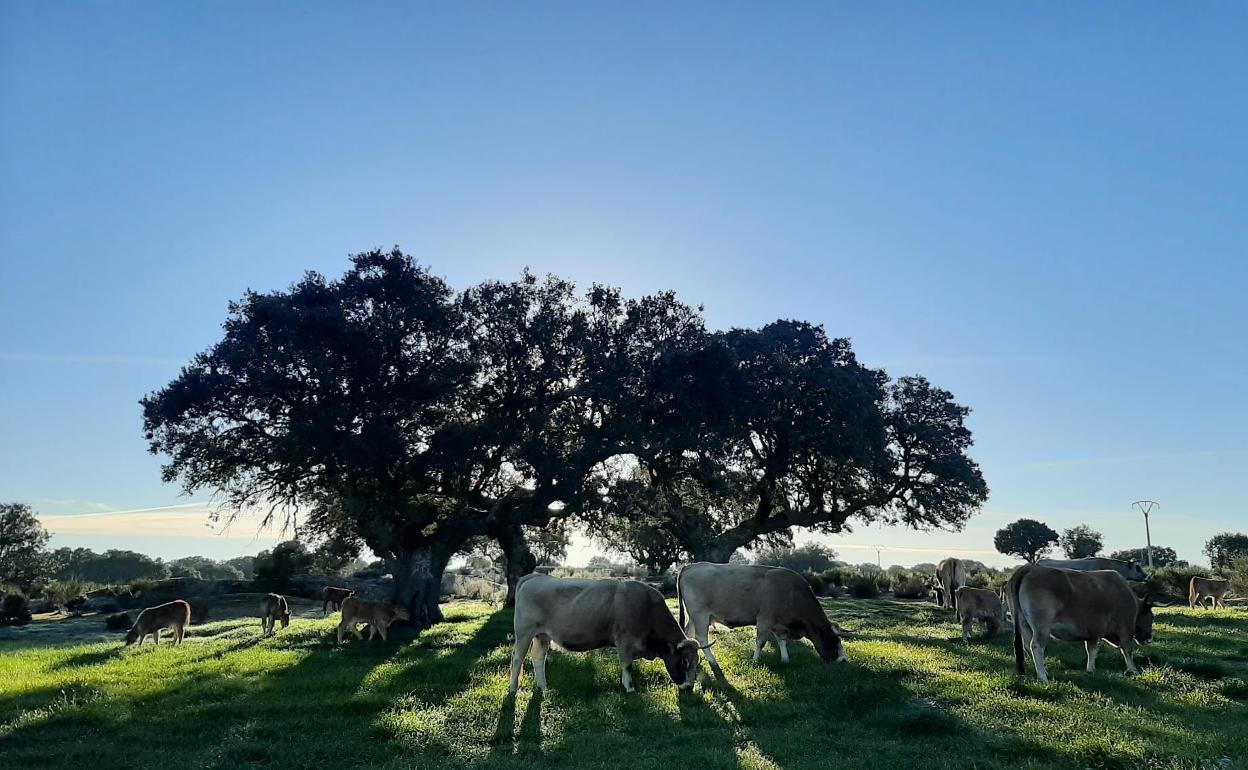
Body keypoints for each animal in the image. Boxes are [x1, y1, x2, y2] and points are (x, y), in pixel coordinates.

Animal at [504, 571, 703, 688]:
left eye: (697, 662)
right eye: (684, 661)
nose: (689, 687)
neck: (646, 606)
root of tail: (535, 576)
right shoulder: (624, 641)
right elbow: (627, 665)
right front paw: (629, 688)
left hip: (542, 635)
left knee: (538, 659)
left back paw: (543, 687)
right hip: (524, 632)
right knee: (517, 659)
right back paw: (513, 688)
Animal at [678, 559, 843, 673]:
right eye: (835, 642)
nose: (842, 660)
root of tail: (691, 566)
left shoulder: (777, 624)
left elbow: (781, 641)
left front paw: (785, 659)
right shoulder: (765, 620)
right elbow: (760, 642)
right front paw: (754, 661)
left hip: (693, 617)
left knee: (689, 634)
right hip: (700, 615)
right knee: (701, 639)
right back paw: (712, 661)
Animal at [1008, 561, 1153, 683]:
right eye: (1152, 617)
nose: (1149, 638)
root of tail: (1029, 568)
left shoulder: (1094, 631)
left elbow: (1092, 650)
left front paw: (1091, 670)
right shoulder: (1125, 628)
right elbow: (1127, 650)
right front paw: (1133, 670)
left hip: (1023, 624)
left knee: (1027, 646)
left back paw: (1044, 671)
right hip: (1042, 626)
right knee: (1036, 646)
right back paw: (1043, 677)